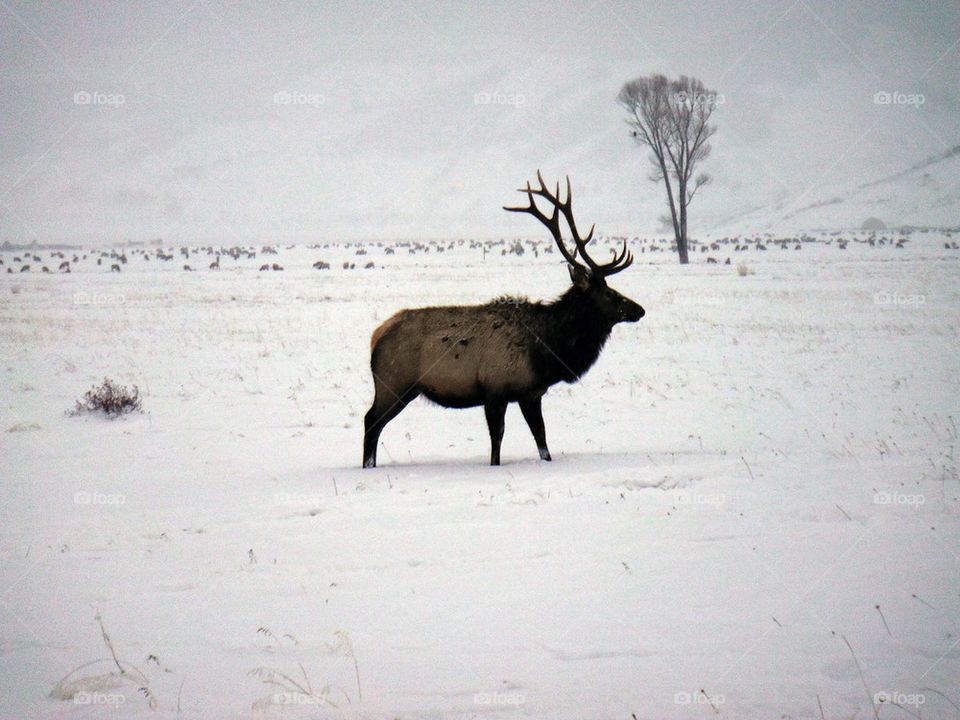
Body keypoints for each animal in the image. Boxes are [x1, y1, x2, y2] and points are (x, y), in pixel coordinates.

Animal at [362, 172, 645, 468]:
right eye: (609, 293)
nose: (639, 310)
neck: (547, 350)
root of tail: (376, 336)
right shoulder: (495, 390)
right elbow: (497, 441)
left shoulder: (530, 393)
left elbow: (541, 439)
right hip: (393, 382)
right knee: (371, 421)